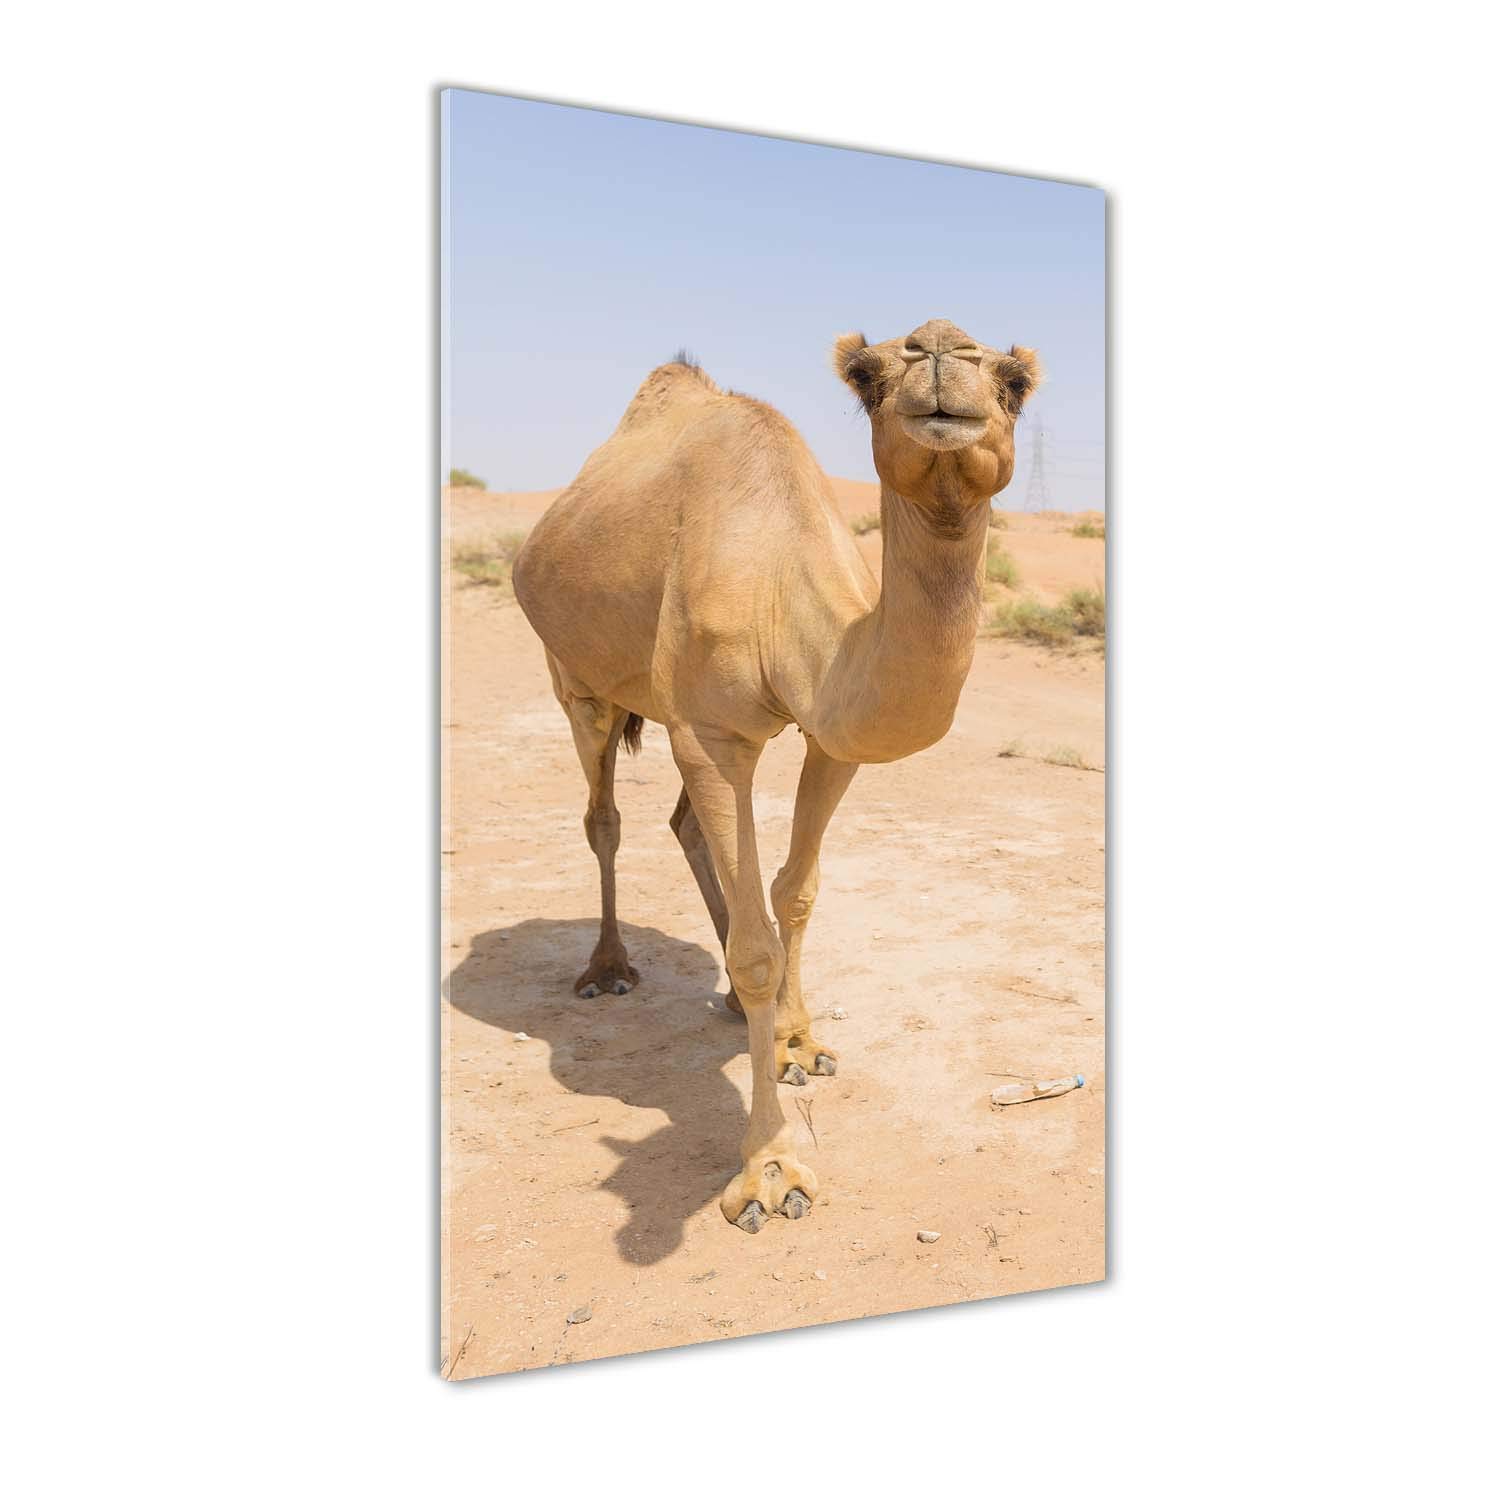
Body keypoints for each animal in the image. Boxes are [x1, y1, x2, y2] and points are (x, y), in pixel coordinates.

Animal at [511, 319, 1040, 1232]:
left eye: (1016, 382)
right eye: (866, 376)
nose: (940, 347)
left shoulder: (834, 738)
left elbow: (793, 892)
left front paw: (798, 1041)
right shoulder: (712, 733)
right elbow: (758, 945)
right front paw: (769, 1170)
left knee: (684, 824)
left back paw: (725, 1001)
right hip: (576, 681)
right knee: (603, 817)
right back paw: (607, 969)